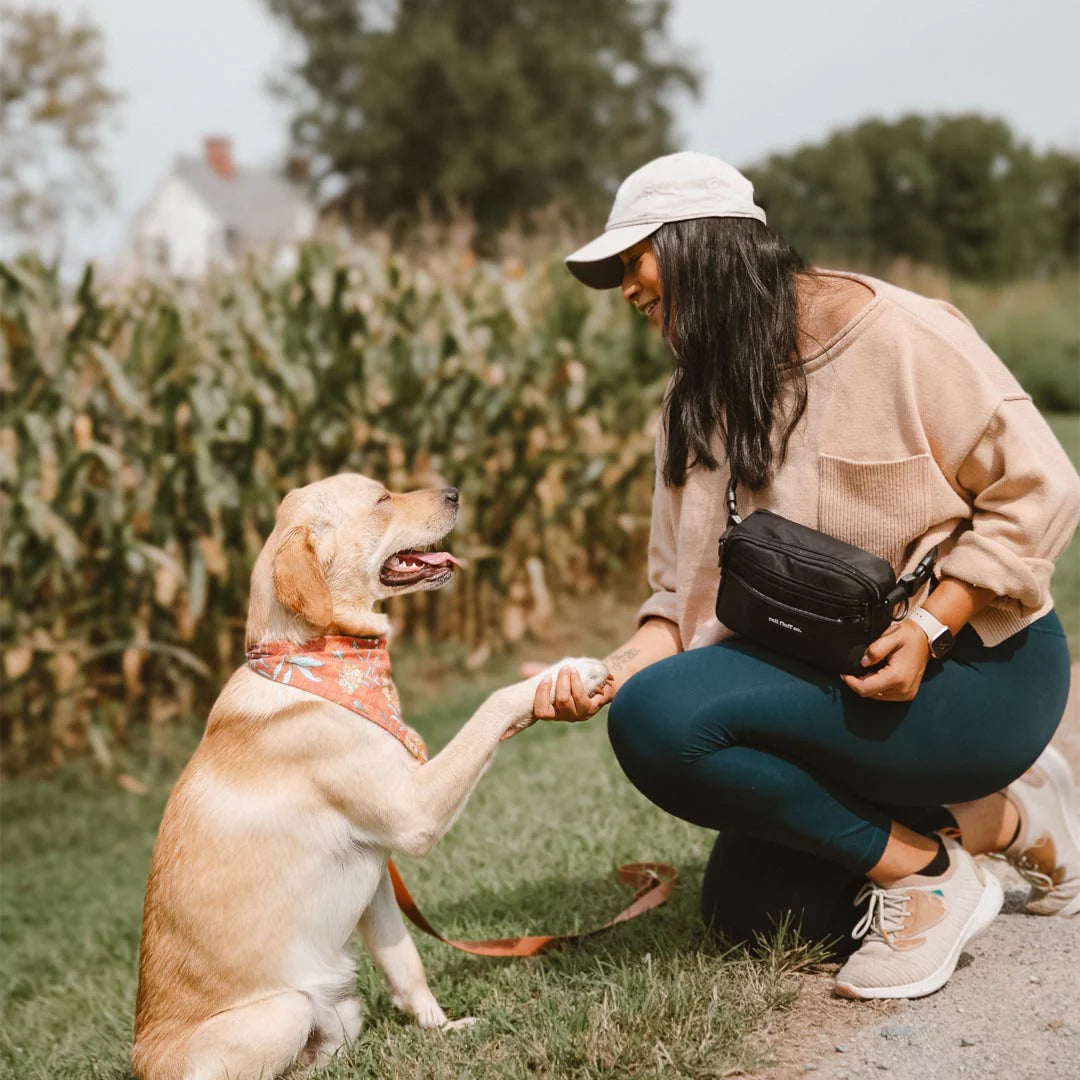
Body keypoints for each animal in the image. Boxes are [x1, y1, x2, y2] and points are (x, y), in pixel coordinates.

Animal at [132, 475, 609, 1080]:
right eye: (382, 499)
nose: (455, 490)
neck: (317, 658)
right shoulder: (414, 814)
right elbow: (494, 702)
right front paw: (567, 672)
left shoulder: (376, 870)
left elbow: (406, 964)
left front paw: (443, 1030)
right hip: (287, 1008)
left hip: (341, 1010)